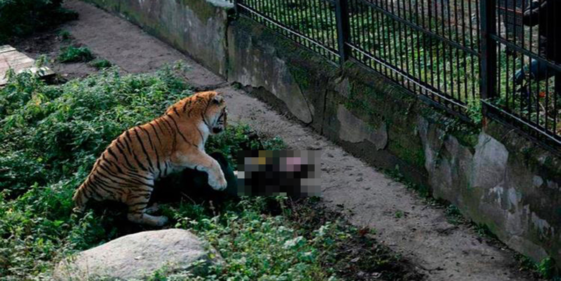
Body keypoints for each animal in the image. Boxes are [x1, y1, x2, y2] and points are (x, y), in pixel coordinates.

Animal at [72, 91, 228, 226]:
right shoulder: (184, 152)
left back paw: (153, 208)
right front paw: (219, 184)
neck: (201, 114)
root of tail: (89, 181)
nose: (226, 127)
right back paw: (160, 220)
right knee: (133, 215)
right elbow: (212, 162)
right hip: (142, 181)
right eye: (224, 113)